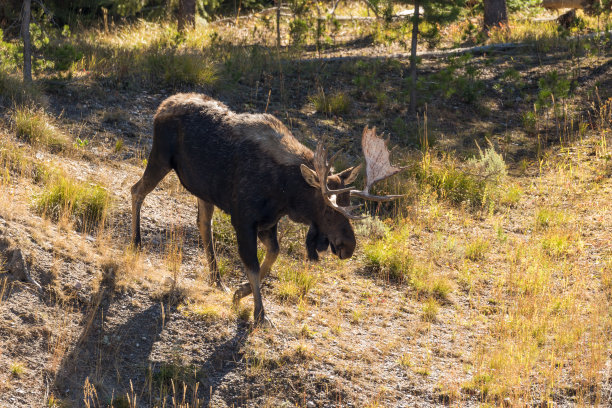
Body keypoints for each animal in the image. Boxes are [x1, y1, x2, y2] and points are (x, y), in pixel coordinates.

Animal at [131, 93, 404, 326]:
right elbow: (252, 265)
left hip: (203, 190)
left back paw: (217, 279)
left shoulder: (268, 222)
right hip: (160, 158)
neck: (286, 195)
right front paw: (260, 314)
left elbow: (273, 255)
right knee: (136, 191)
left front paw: (240, 291)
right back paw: (136, 244)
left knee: (203, 224)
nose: (349, 246)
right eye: (328, 209)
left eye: (348, 203)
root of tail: (162, 106)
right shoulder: (243, 219)